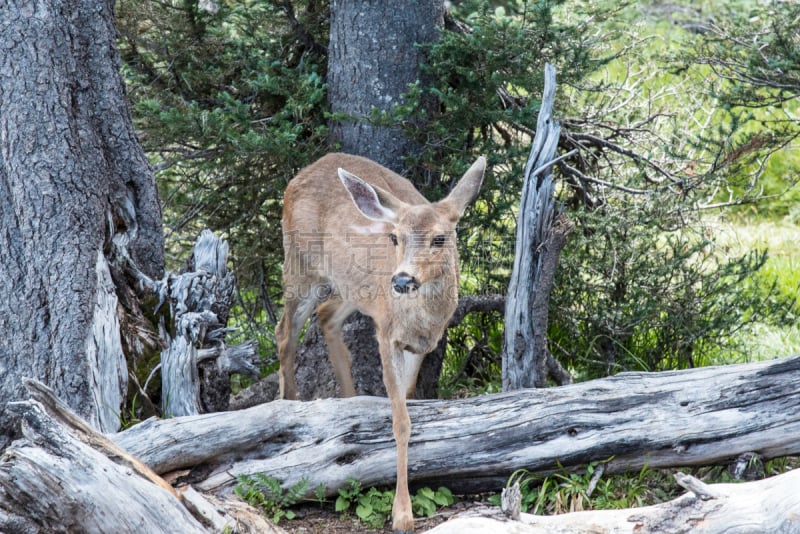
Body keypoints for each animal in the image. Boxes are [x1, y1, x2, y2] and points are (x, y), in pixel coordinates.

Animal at [276, 153, 488, 532]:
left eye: (439, 238)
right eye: (395, 238)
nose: (402, 280)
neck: (422, 319)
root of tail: (300, 174)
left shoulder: (419, 346)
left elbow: (410, 400)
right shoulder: (387, 335)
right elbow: (401, 421)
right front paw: (402, 513)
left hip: (352, 287)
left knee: (327, 316)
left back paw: (350, 400)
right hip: (300, 262)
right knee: (284, 331)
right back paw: (288, 402)